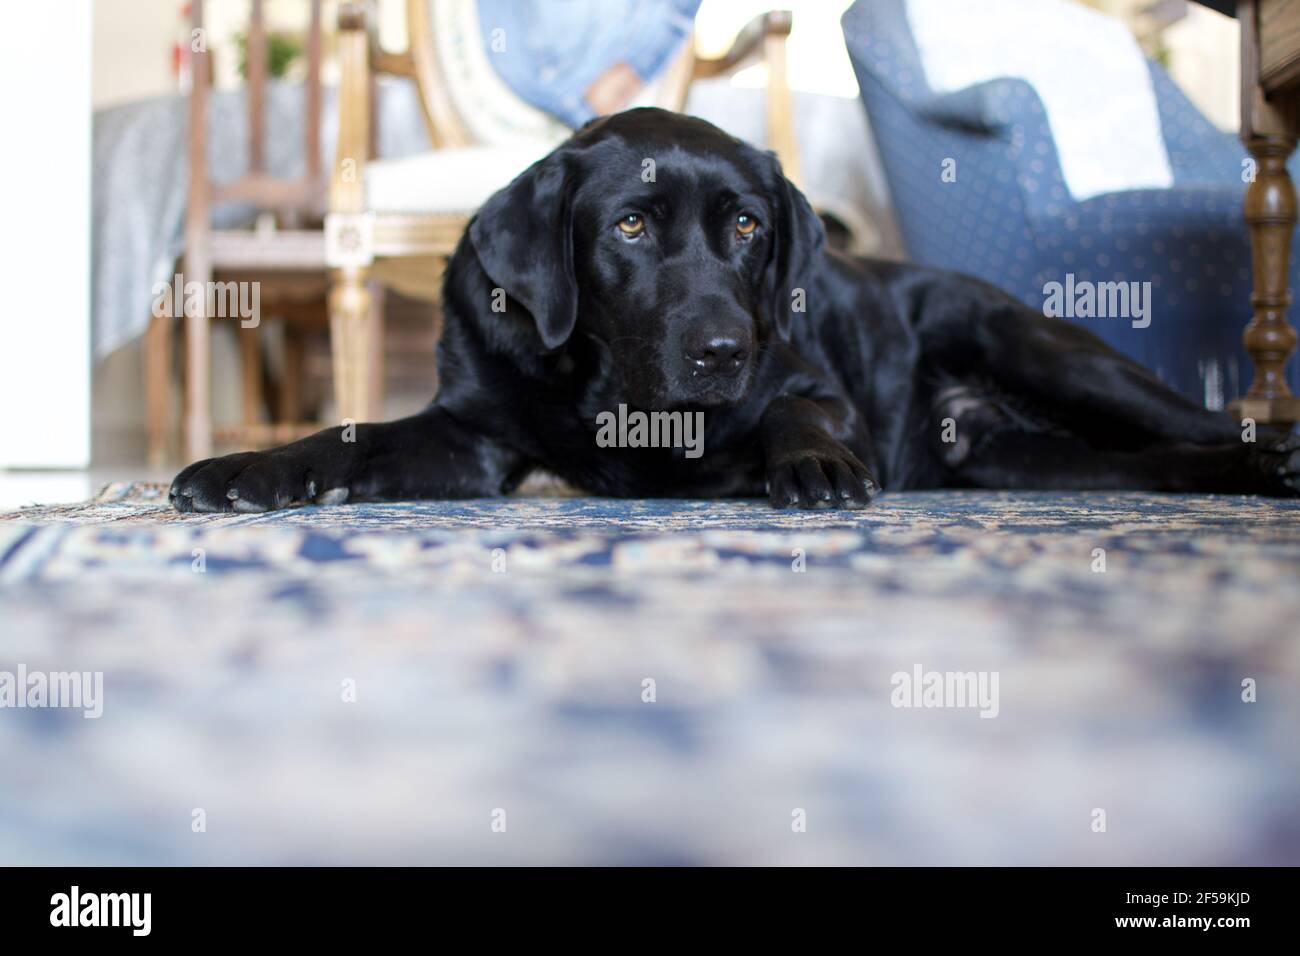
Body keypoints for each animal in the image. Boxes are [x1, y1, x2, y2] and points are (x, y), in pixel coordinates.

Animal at [170, 109, 1300, 515]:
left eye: (750, 226)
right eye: (630, 226)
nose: (723, 348)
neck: (610, 391)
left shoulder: (808, 376)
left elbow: (801, 407)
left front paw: (811, 465)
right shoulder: (470, 438)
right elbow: (348, 433)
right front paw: (245, 471)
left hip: (1044, 350)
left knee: (1194, 420)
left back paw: (1273, 461)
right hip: (1026, 457)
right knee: (1154, 464)